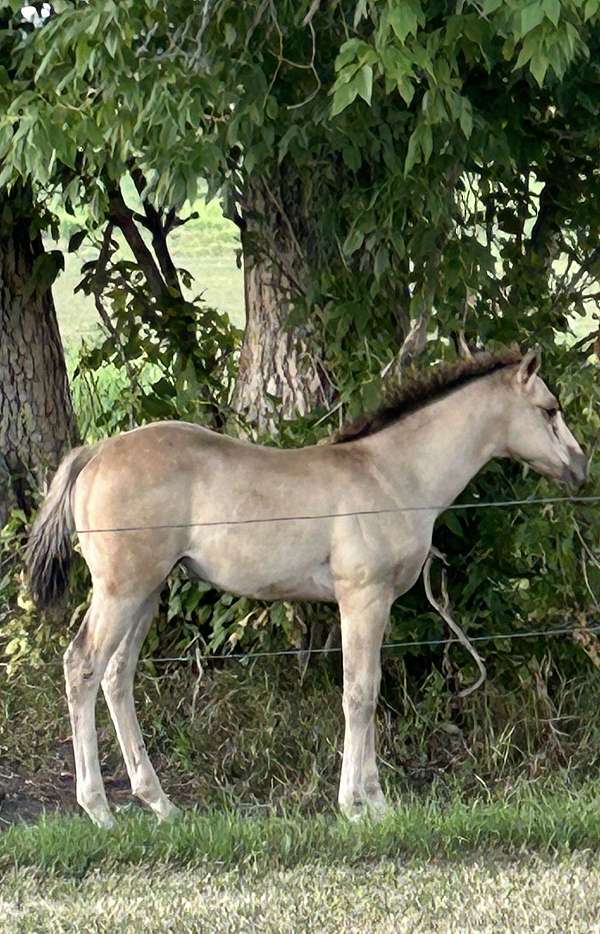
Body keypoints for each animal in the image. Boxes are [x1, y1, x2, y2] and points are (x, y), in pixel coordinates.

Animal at [26, 348, 587, 827]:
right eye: (550, 410)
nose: (580, 467)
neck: (391, 475)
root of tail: (96, 451)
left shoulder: (372, 603)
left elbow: (368, 690)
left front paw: (375, 802)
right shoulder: (363, 599)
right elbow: (360, 693)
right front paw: (358, 806)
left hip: (148, 591)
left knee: (118, 676)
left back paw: (160, 804)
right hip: (121, 590)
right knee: (82, 666)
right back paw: (100, 809)